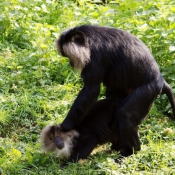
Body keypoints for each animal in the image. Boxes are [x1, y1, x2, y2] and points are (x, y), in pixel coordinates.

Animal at [56, 25, 175, 159]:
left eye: (69, 57)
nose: (71, 64)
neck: (89, 38)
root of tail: (160, 80)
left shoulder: (95, 57)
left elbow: (90, 90)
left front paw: (64, 127)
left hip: (148, 91)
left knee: (125, 114)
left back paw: (131, 151)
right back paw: (118, 146)